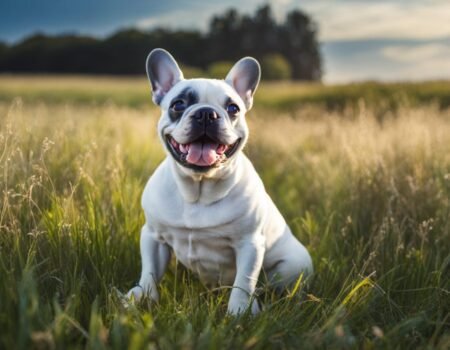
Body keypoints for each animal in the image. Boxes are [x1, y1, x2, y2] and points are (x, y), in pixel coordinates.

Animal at [125, 48, 312, 314]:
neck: (198, 189)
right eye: (178, 104)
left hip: (293, 266)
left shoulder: (250, 244)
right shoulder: (153, 236)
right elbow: (150, 271)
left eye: (233, 108)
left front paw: (240, 312)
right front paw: (142, 297)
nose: (206, 113)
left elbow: (244, 281)